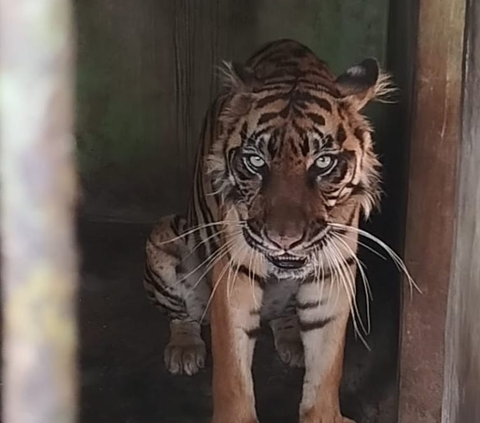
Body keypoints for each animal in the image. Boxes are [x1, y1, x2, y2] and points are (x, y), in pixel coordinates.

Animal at [143, 39, 394, 423]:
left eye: (323, 162)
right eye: (256, 161)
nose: (284, 240)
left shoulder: (333, 272)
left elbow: (327, 365)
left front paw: (323, 413)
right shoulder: (234, 274)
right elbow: (232, 373)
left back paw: (293, 343)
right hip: (164, 237)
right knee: (182, 315)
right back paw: (184, 350)